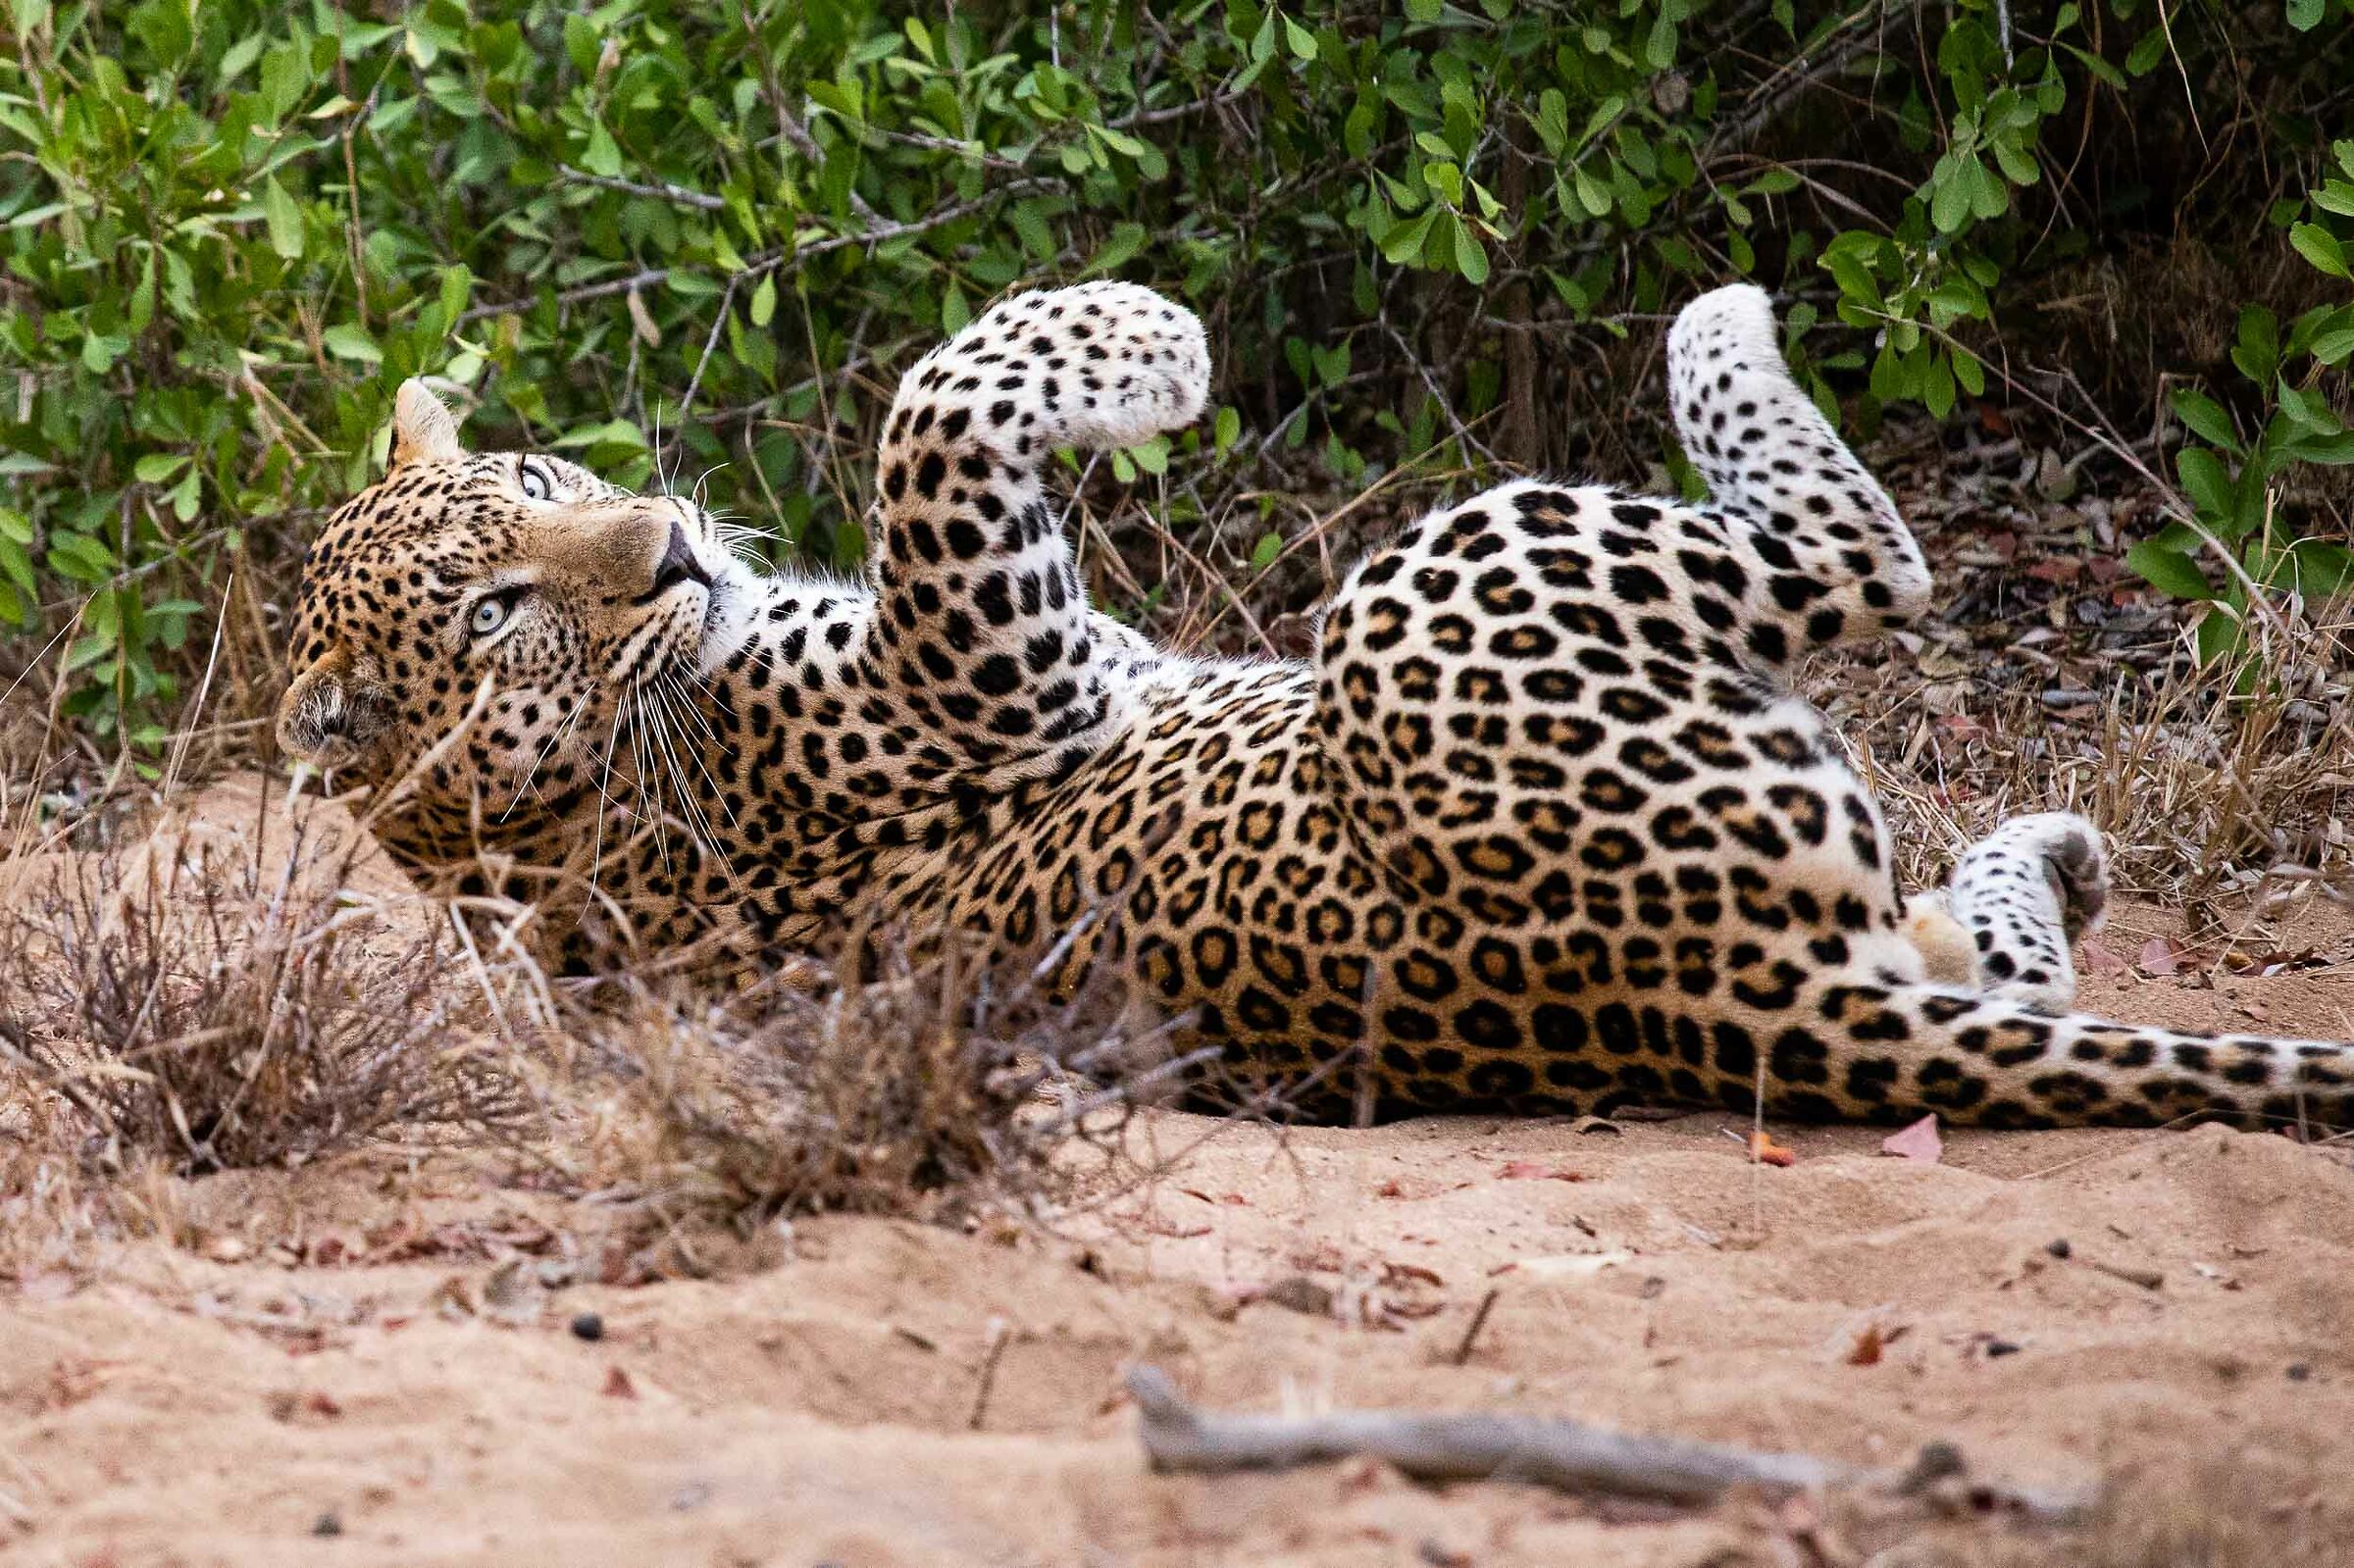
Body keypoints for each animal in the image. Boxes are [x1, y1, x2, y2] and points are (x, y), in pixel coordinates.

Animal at [276, 278, 2354, 1129]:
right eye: (493, 613)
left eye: (531, 484)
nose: (671, 547)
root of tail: (1720, 1003)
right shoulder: (990, 668)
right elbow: (929, 407)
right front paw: (1149, 342)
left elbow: (933, 401)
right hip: (1447, 581)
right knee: (1864, 558)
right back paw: (1729, 326)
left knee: (2003, 963)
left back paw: (2050, 856)